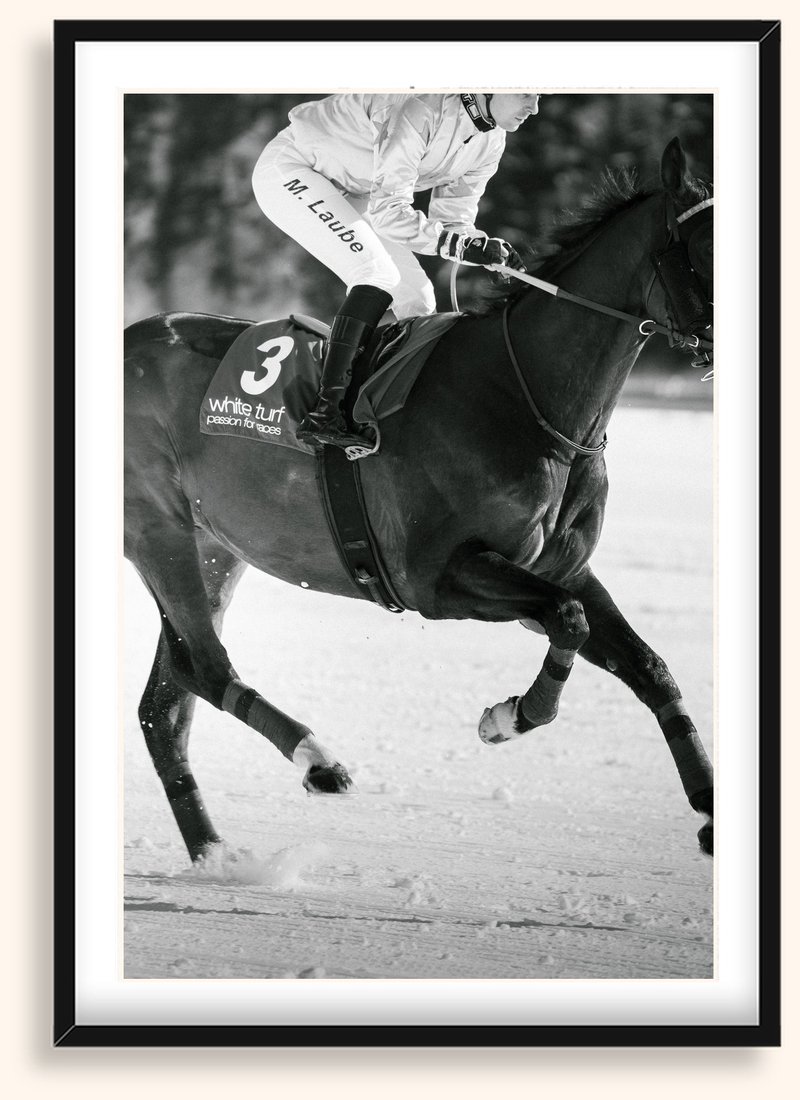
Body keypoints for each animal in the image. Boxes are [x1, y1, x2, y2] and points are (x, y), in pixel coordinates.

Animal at [124, 136, 714, 864]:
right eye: (707, 245)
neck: (524, 395)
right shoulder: (439, 576)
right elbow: (568, 621)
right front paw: (508, 717)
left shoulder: (561, 567)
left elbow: (647, 664)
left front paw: (709, 807)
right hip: (158, 530)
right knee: (203, 666)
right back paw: (318, 760)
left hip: (213, 547)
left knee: (166, 703)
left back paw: (215, 853)